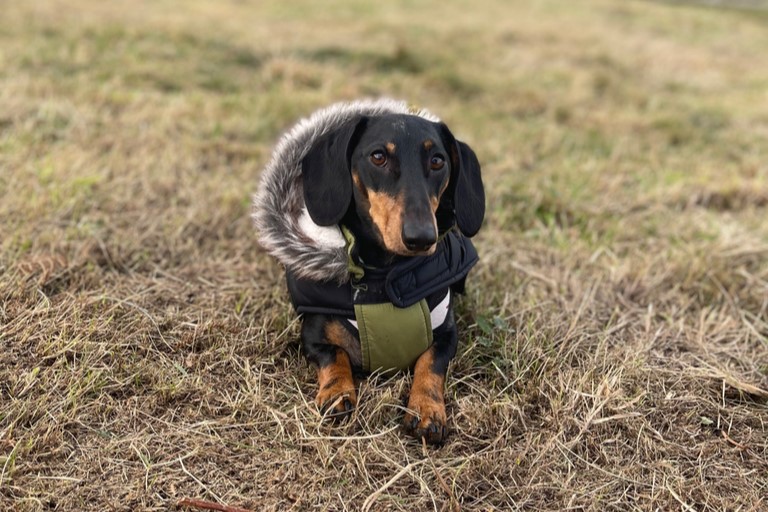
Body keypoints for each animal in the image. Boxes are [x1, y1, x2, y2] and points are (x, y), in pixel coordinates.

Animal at [258, 99, 486, 444]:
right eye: (378, 156)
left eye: (437, 161)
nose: (422, 237)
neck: (383, 274)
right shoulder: (312, 335)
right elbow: (335, 355)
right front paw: (337, 393)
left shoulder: (446, 331)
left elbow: (430, 363)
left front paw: (426, 409)